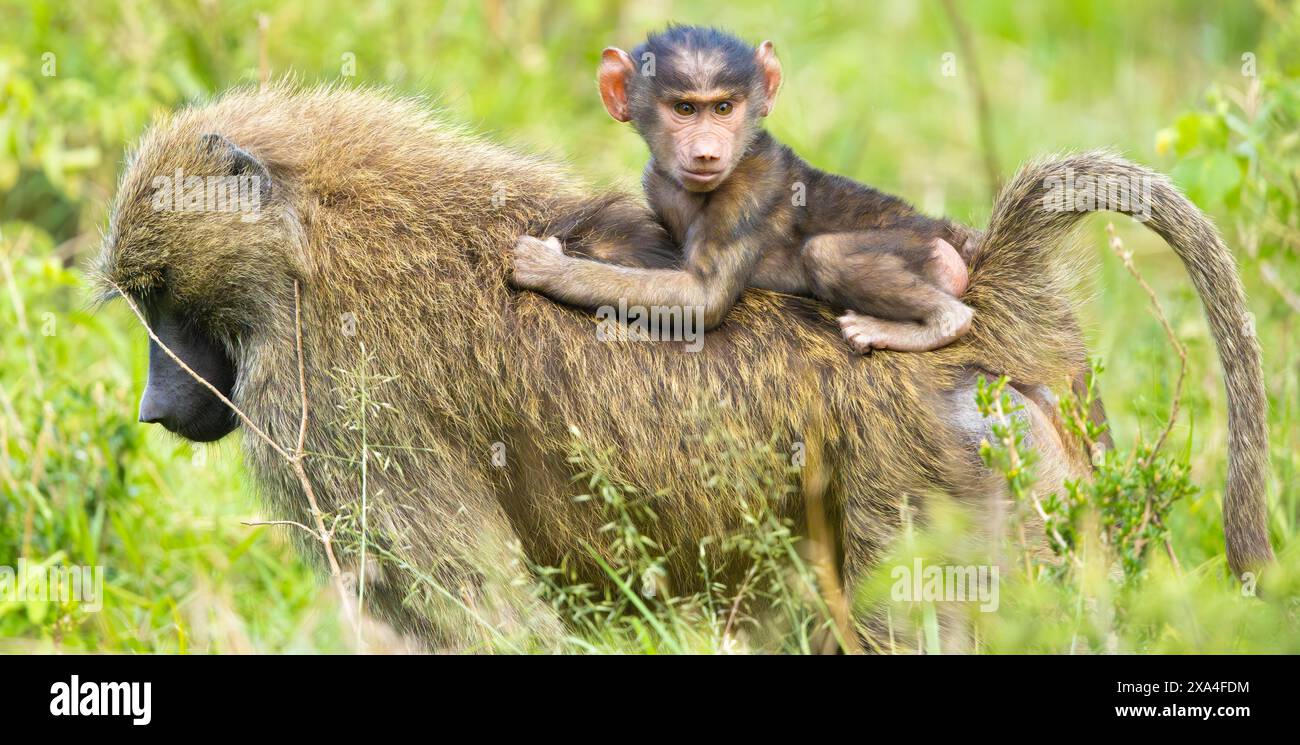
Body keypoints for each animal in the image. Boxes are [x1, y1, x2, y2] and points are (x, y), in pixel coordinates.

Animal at [96, 84, 1270, 650]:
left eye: (159, 298)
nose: (155, 405)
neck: (313, 234)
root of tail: (997, 303)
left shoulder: (325, 400)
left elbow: (486, 621)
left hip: (932, 484)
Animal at [512, 26, 980, 354]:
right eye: (684, 108)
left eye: (724, 107)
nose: (706, 152)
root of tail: (940, 231)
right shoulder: (656, 180)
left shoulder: (748, 191)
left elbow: (702, 299)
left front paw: (549, 267)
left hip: (915, 245)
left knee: (826, 253)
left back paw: (942, 322)